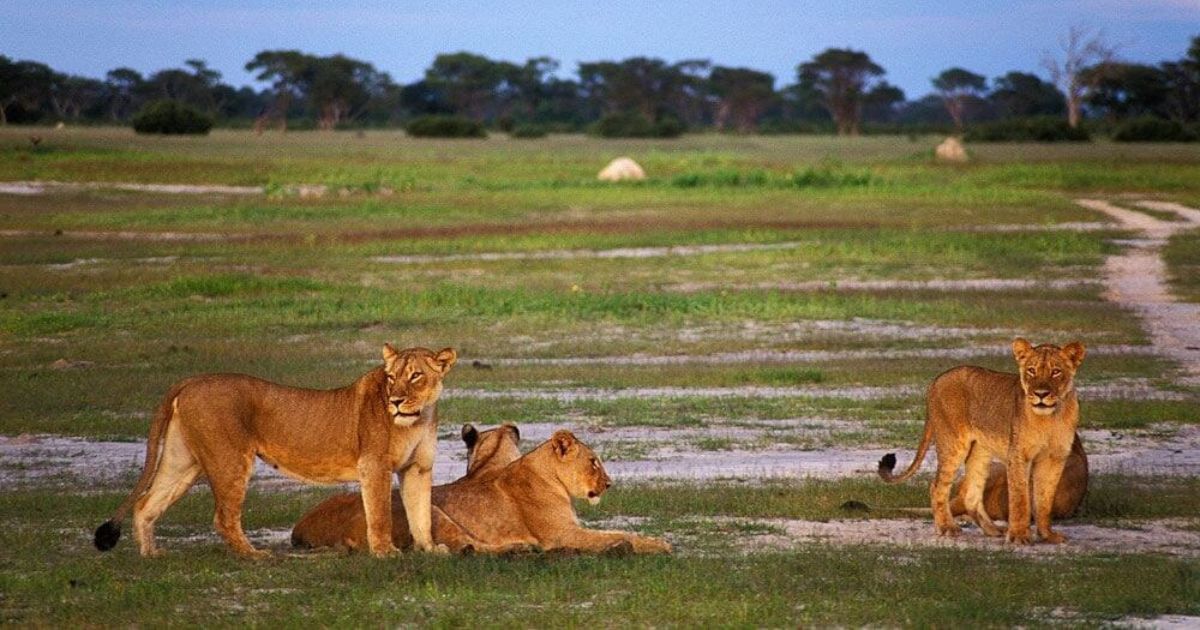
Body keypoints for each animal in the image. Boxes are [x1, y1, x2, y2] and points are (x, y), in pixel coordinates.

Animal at [93, 344, 456, 558]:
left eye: (416, 375)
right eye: (391, 377)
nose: (395, 400)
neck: (419, 417)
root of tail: (192, 380)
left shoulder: (417, 469)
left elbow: (420, 513)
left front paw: (430, 548)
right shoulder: (374, 465)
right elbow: (379, 513)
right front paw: (385, 552)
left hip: (182, 462)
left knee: (145, 504)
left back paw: (151, 555)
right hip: (230, 459)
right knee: (223, 517)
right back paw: (254, 556)